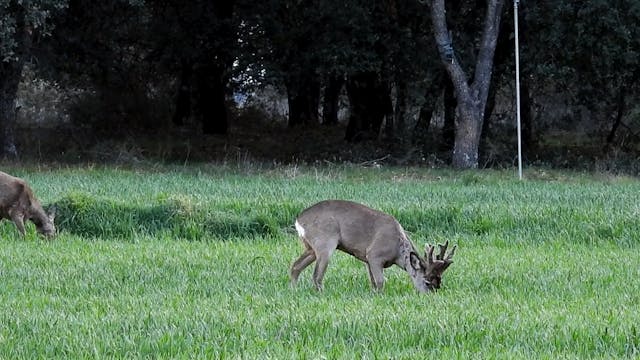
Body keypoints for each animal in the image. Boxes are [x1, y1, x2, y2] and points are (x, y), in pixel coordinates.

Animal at [290, 200, 456, 292]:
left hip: (310, 247)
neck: (397, 250)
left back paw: (294, 290)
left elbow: (373, 282)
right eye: (427, 282)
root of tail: (299, 220)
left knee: (295, 266)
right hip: (325, 242)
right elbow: (381, 282)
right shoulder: (375, 254)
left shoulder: (367, 259)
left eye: (439, 283)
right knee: (316, 275)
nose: (430, 296)